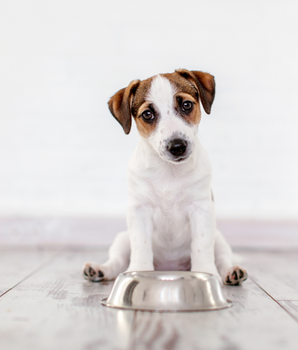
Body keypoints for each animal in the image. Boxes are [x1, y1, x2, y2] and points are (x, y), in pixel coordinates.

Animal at [83, 69, 247, 288]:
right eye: (148, 114)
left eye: (186, 105)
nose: (177, 146)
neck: (169, 172)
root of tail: (171, 267)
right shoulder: (139, 211)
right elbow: (141, 245)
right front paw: (140, 271)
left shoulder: (202, 209)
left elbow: (201, 244)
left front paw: (205, 273)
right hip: (122, 239)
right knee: (117, 261)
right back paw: (99, 270)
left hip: (219, 239)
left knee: (222, 258)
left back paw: (232, 272)